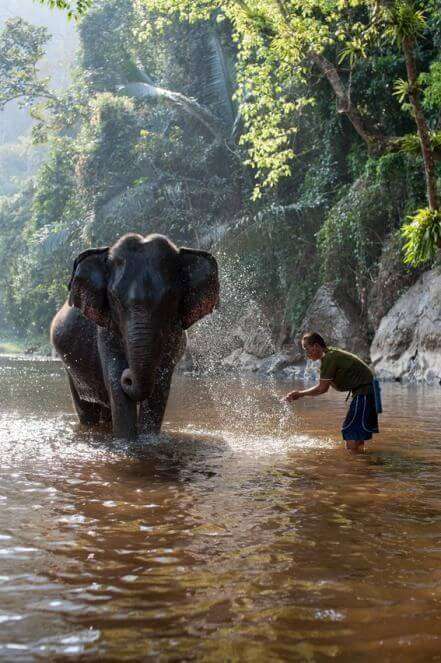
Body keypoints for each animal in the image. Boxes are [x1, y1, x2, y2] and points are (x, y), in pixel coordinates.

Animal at [50, 233, 219, 440]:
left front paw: (148, 439)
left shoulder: (173, 334)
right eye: (114, 298)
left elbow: (160, 386)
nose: (128, 376)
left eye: (171, 298)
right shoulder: (107, 330)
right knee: (86, 410)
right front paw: (127, 441)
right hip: (71, 368)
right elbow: (116, 383)